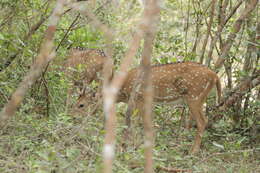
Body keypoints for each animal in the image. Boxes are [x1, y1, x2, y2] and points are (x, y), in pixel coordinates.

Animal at [74, 61, 220, 153]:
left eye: (81, 105)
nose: (72, 117)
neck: (123, 92)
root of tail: (215, 76)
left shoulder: (140, 98)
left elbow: (135, 122)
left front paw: (130, 146)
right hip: (198, 98)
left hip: (194, 97)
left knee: (202, 121)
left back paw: (193, 151)